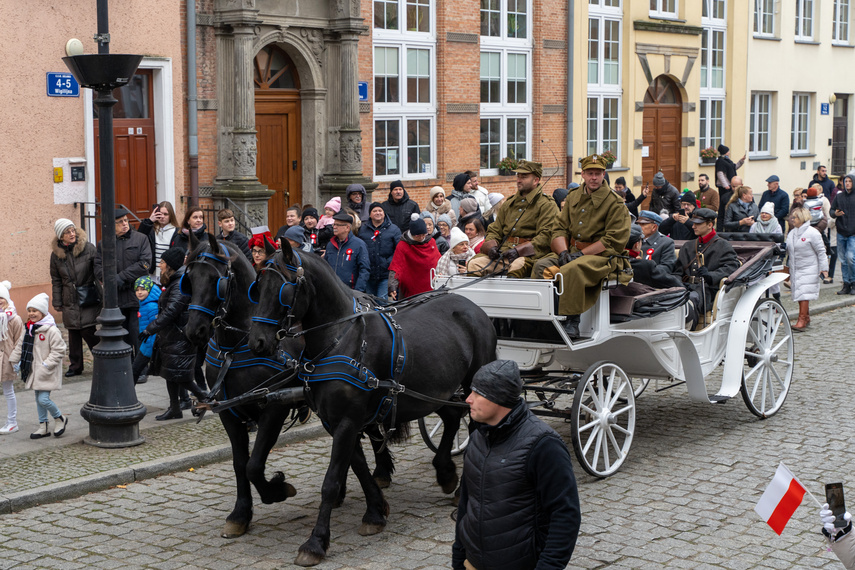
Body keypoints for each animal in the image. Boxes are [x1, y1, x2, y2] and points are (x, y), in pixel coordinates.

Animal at [181, 234, 304, 536]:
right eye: (189, 279)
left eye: (217, 280)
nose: (193, 330)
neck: (234, 348)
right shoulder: (228, 411)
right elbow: (239, 463)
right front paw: (240, 514)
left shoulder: (273, 408)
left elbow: (254, 465)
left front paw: (277, 489)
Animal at [247, 240, 494, 564]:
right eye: (257, 286)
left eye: (283, 289)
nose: (257, 343)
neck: (341, 339)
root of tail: (473, 307)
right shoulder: (336, 421)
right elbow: (360, 468)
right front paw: (375, 513)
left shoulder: (348, 420)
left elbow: (332, 481)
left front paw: (315, 542)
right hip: (434, 389)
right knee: (453, 418)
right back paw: (445, 473)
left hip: (474, 386)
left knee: (476, 427)